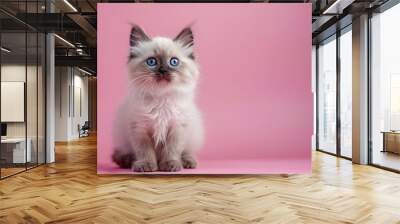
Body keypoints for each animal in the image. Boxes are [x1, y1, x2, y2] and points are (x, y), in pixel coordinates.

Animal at [111, 24, 203, 172]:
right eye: (151, 62)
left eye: (174, 62)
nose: (163, 70)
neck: (161, 100)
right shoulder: (139, 129)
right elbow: (144, 151)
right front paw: (146, 165)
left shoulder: (177, 128)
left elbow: (172, 150)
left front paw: (170, 165)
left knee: (187, 151)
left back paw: (187, 162)